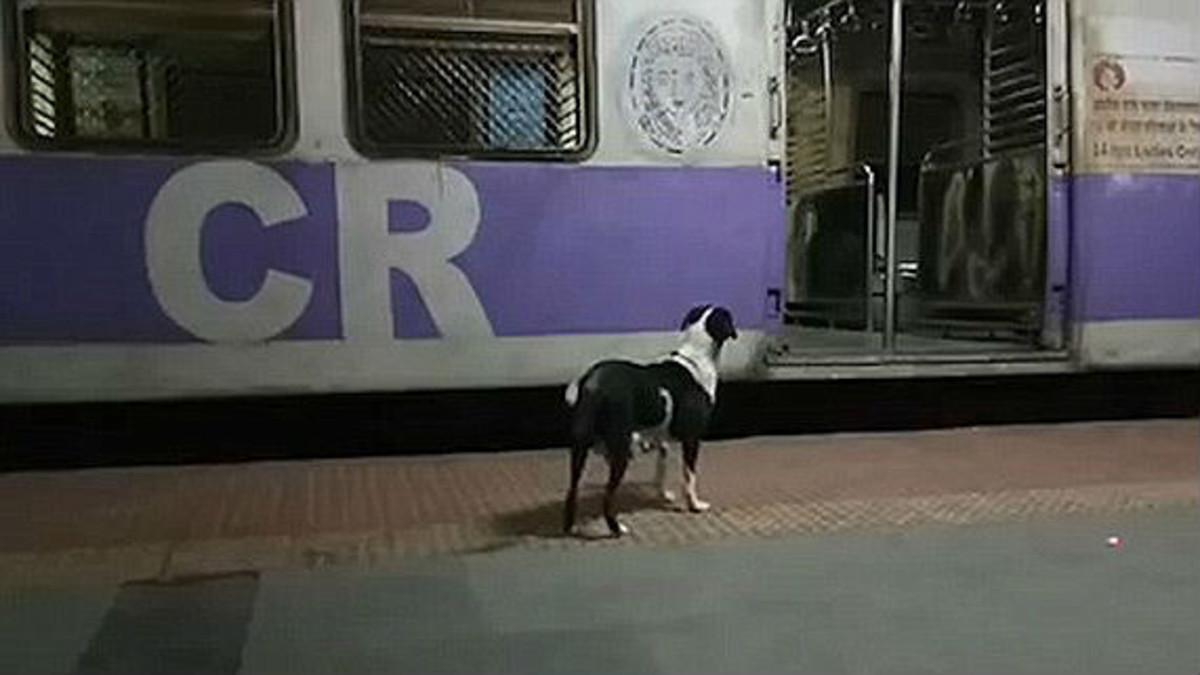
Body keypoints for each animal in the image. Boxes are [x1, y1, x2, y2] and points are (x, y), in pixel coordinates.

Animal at [559, 305, 734, 535]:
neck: (696, 357)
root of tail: (592, 384)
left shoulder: (660, 438)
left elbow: (661, 468)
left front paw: (663, 495)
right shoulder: (692, 438)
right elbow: (689, 476)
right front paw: (694, 505)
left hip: (579, 448)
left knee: (572, 489)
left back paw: (570, 527)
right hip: (620, 450)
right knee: (607, 494)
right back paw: (616, 529)